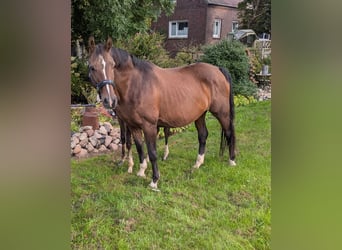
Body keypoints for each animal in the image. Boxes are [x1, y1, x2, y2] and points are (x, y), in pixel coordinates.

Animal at [87, 36, 235, 189]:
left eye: (112, 65)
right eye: (92, 67)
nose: (109, 100)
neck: (136, 84)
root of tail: (218, 69)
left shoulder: (149, 125)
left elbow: (152, 152)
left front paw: (154, 181)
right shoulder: (133, 126)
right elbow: (140, 148)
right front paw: (141, 171)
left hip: (222, 113)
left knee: (229, 132)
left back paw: (231, 161)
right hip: (200, 114)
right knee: (203, 135)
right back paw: (197, 164)